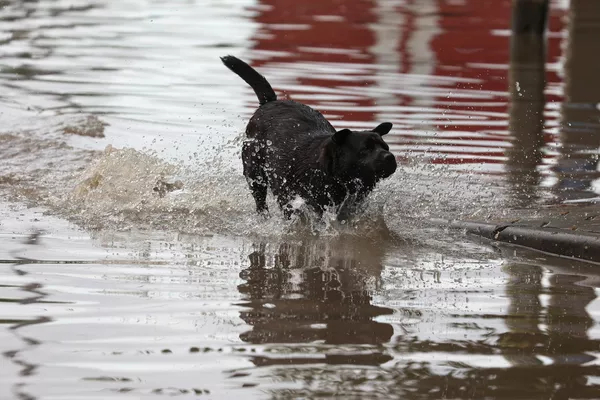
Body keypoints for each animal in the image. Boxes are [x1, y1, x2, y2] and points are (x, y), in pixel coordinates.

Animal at [223, 55, 396, 220]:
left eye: (386, 147)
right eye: (366, 148)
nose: (390, 157)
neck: (329, 171)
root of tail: (269, 102)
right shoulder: (301, 201)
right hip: (254, 173)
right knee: (260, 201)